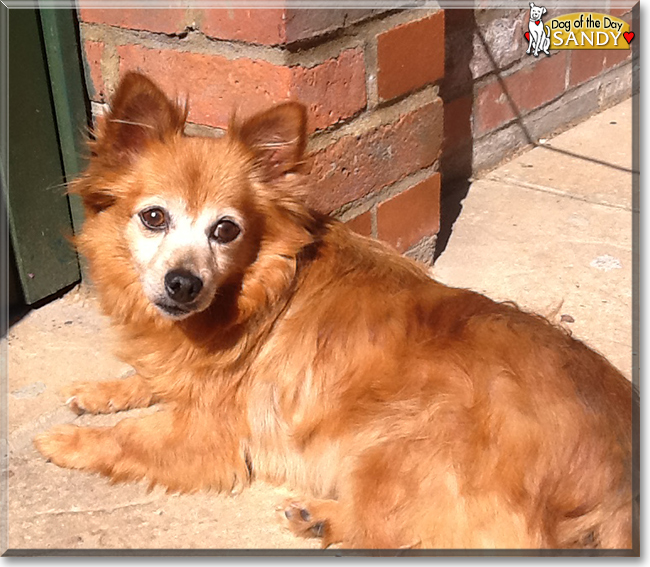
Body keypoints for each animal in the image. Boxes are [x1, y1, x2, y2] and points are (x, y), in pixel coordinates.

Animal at [35, 72, 632, 552]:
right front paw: (100, 390)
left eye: (225, 230)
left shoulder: (207, 432)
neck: (255, 291)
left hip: (394, 443)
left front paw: (65, 440)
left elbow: (129, 435)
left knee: (409, 531)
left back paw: (320, 515)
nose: (183, 284)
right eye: (154, 217)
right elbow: (146, 378)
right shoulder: (184, 372)